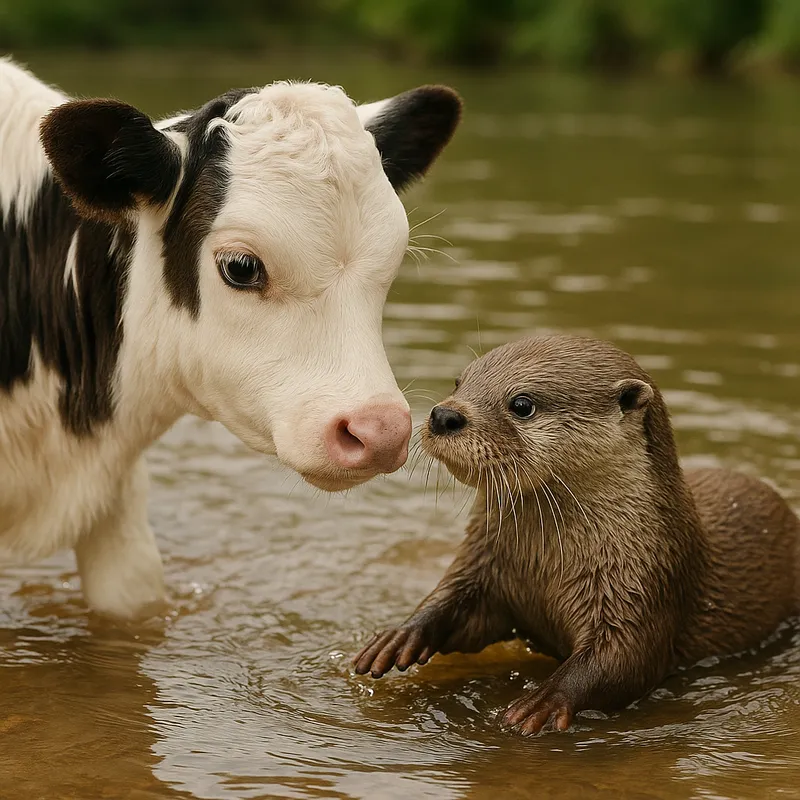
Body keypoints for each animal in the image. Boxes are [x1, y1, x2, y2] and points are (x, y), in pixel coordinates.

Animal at [353, 335, 800, 735]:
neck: (545, 566)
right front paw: (399, 636)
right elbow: (456, 609)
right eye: (459, 383)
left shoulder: (645, 584)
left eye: (522, 404)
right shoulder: (485, 567)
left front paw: (543, 701)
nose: (443, 414)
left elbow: (623, 660)